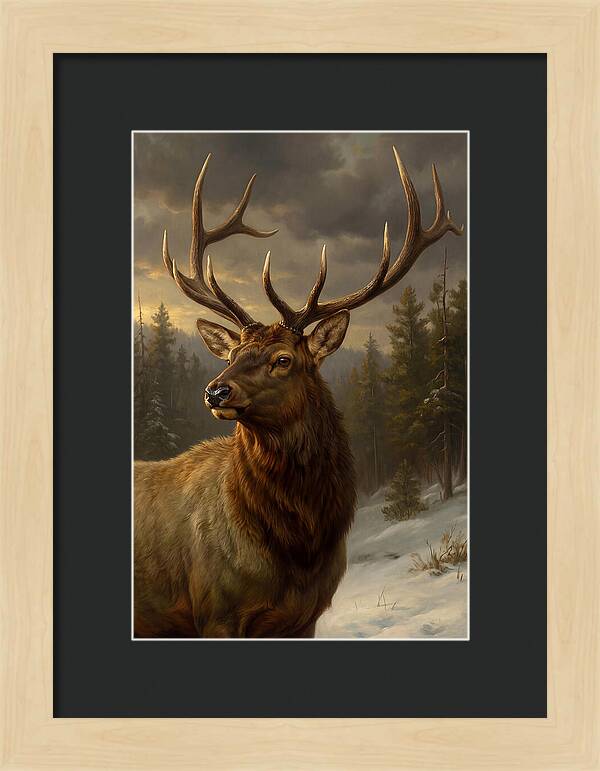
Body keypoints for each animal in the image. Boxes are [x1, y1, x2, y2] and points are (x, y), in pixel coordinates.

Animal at [134, 148, 463, 638]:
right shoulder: (214, 612)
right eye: (231, 353)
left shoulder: (304, 616)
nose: (215, 391)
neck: (298, 548)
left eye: (283, 359)